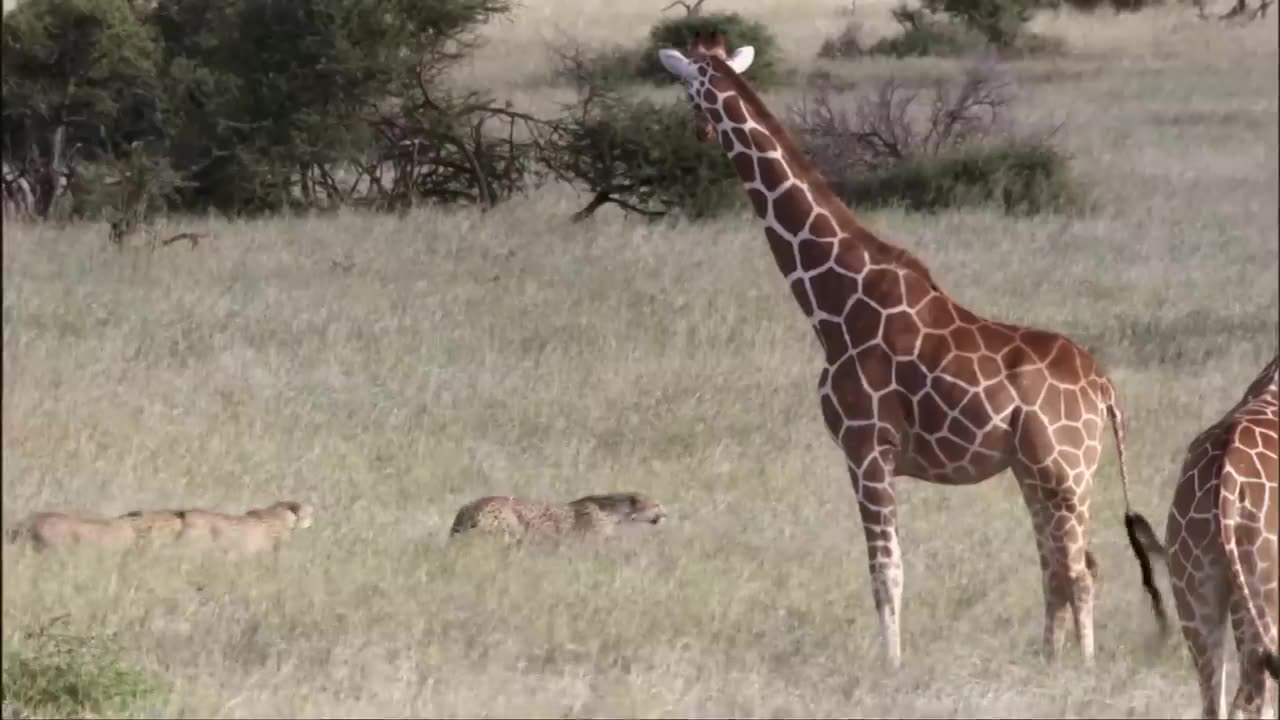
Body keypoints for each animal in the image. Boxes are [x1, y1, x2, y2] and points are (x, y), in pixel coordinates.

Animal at [655, 30, 1167, 666]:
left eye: (686, 86)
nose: (696, 132)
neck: (833, 302)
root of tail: (1104, 388)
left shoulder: (866, 447)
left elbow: (885, 570)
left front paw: (891, 666)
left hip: (1065, 470)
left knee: (1080, 569)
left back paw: (1084, 668)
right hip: (1039, 471)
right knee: (1056, 566)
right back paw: (1049, 660)